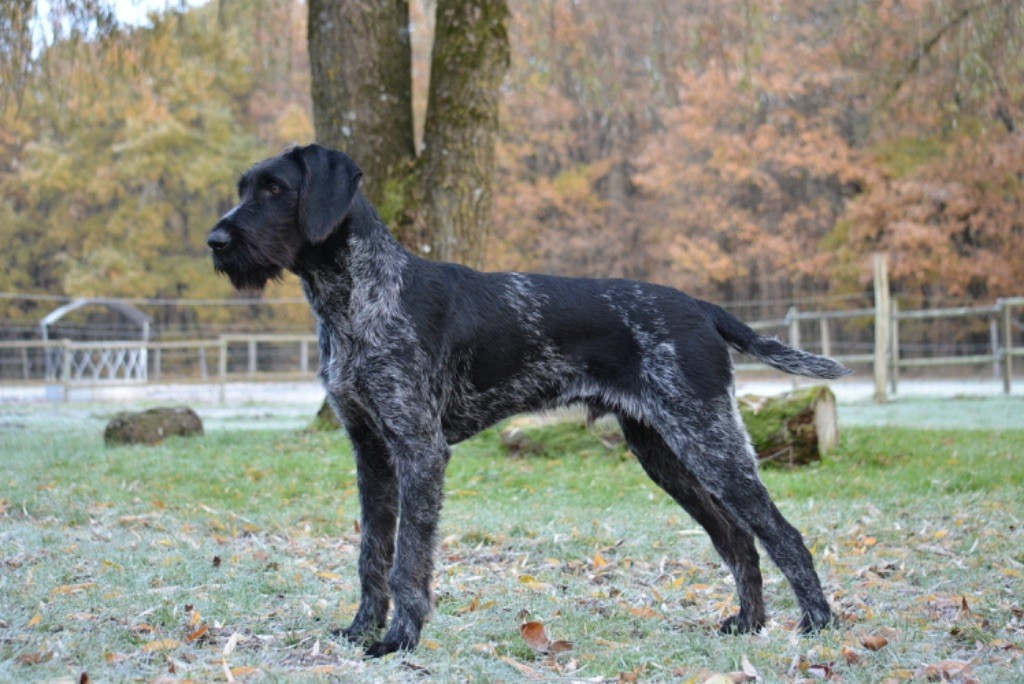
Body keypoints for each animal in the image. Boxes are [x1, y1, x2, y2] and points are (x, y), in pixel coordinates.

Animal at [207, 144, 847, 655]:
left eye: (275, 189)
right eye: (243, 188)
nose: (216, 240)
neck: (356, 298)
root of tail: (703, 308)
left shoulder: (419, 448)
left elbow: (408, 559)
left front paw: (399, 639)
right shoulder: (371, 451)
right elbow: (372, 554)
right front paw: (361, 630)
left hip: (709, 441)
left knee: (782, 534)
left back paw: (817, 624)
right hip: (665, 453)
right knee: (738, 538)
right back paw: (749, 623)